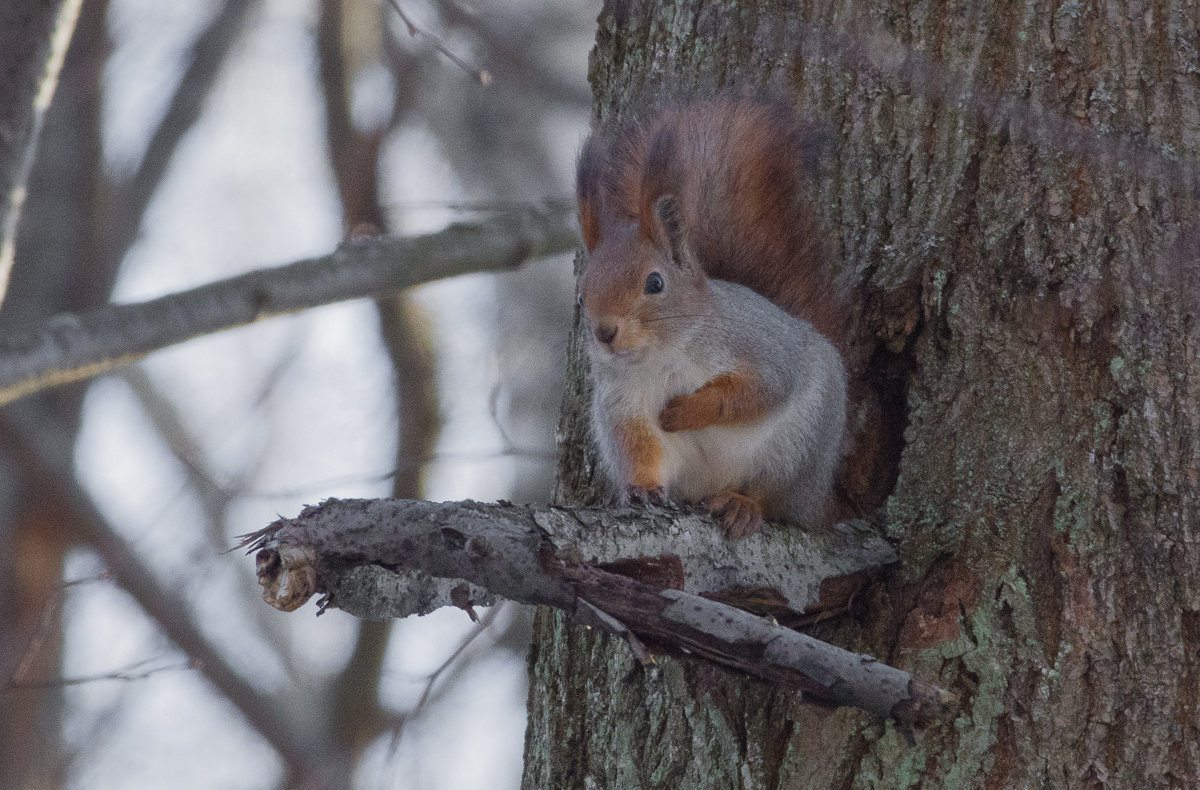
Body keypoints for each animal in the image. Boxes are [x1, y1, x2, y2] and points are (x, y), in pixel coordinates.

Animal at [573, 92, 844, 535]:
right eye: (581, 296)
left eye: (655, 283)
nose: (605, 332)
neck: (661, 355)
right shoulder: (622, 402)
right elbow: (638, 445)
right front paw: (642, 487)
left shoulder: (762, 349)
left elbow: (756, 392)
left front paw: (686, 411)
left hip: (798, 451)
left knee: (774, 499)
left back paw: (742, 504)